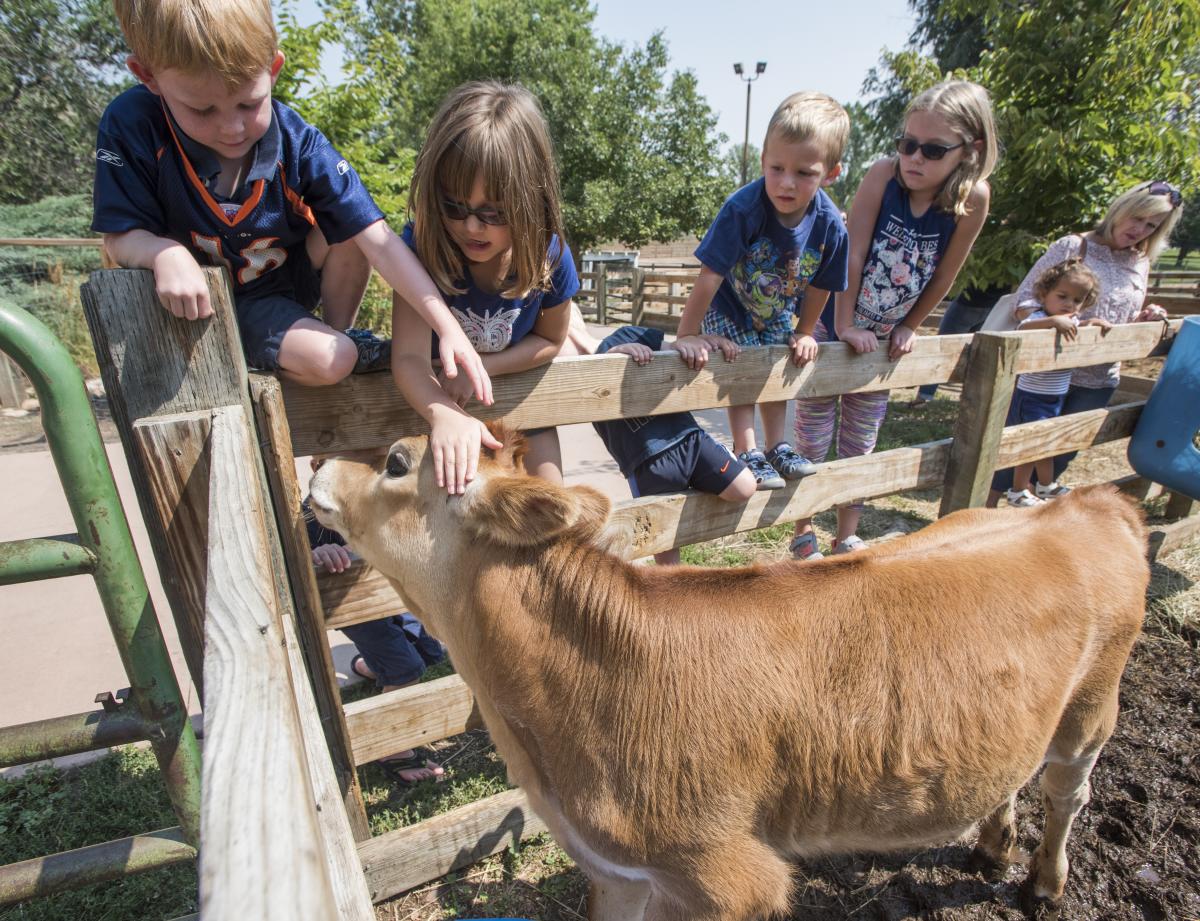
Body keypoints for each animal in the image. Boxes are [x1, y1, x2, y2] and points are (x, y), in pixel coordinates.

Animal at [309, 429, 1142, 921]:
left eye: (394, 459)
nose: (315, 462)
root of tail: (1088, 502)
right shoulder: (621, 871)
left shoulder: (725, 876)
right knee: (1013, 771)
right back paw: (992, 844)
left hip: (1092, 709)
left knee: (1069, 791)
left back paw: (1043, 881)